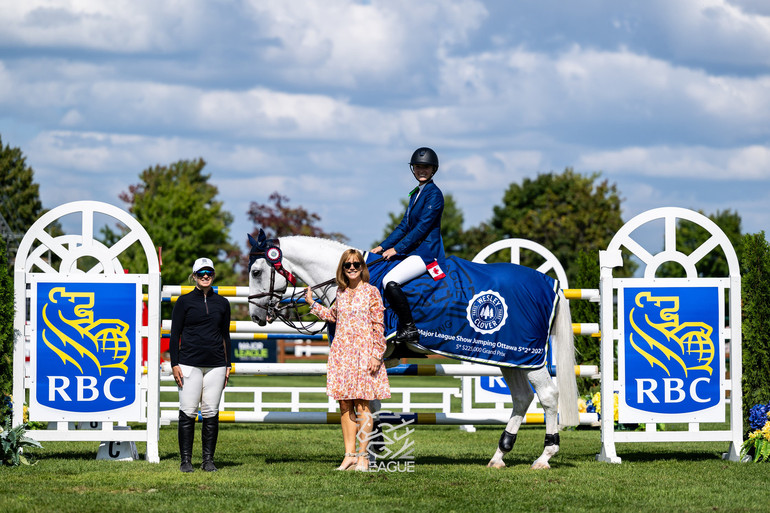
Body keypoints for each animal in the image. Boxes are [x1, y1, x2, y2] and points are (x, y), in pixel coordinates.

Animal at [249, 232, 580, 468]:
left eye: (255, 271)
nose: (255, 316)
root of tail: (549, 284)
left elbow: (368, 404)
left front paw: (372, 451)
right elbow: (373, 404)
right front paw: (375, 448)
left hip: (530, 357)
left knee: (548, 396)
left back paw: (544, 456)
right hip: (510, 356)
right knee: (522, 398)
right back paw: (499, 455)